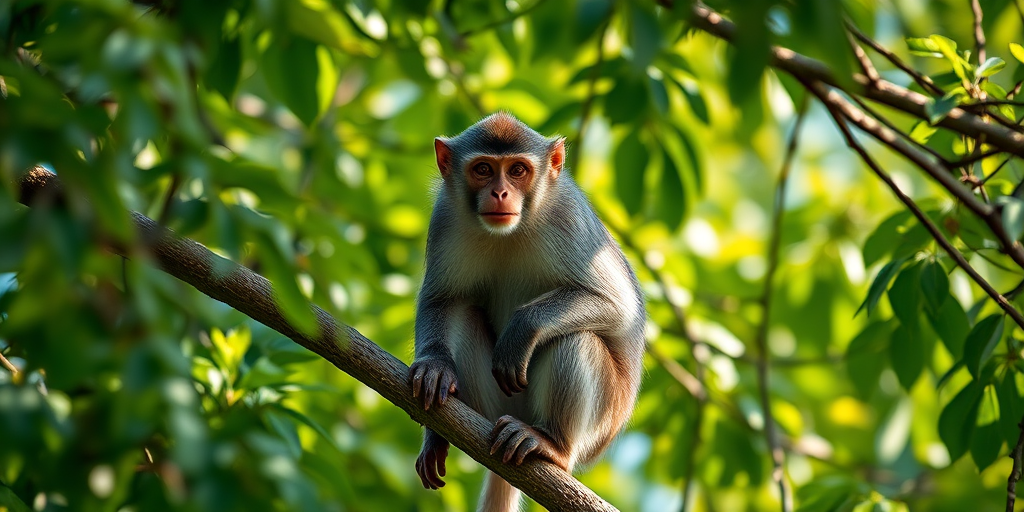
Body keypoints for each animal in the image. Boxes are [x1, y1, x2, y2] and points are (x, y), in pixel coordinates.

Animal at [409, 112, 645, 512]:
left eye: (518, 170)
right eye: (483, 169)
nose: (500, 193)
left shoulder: (570, 219)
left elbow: (620, 307)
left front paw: (523, 328)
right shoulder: (446, 216)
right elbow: (442, 299)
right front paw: (434, 367)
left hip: (600, 419)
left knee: (575, 339)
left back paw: (553, 445)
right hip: (496, 405)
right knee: (465, 313)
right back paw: (443, 429)